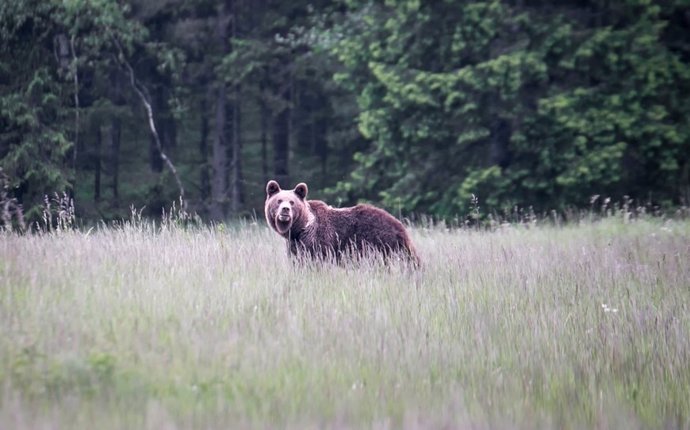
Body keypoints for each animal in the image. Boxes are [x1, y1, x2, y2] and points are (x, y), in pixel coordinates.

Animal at [264, 178, 420, 266]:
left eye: (292, 202)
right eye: (279, 200)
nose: (285, 210)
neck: (301, 229)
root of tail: (400, 226)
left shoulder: (319, 241)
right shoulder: (295, 244)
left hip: (379, 243)